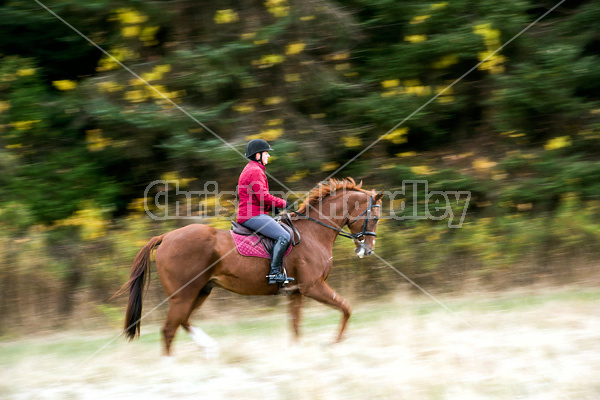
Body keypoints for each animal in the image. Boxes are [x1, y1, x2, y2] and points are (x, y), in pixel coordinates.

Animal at [116, 179, 384, 356]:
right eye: (375, 217)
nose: (368, 250)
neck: (313, 232)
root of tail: (166, 237)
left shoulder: (296, 292)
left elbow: (295, 326)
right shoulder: (313, 287)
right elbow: (346, 308)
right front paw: (333, 344)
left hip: (200, 291)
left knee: (182, 322)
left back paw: (210, 347)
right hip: (184, 294)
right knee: (169, 330)